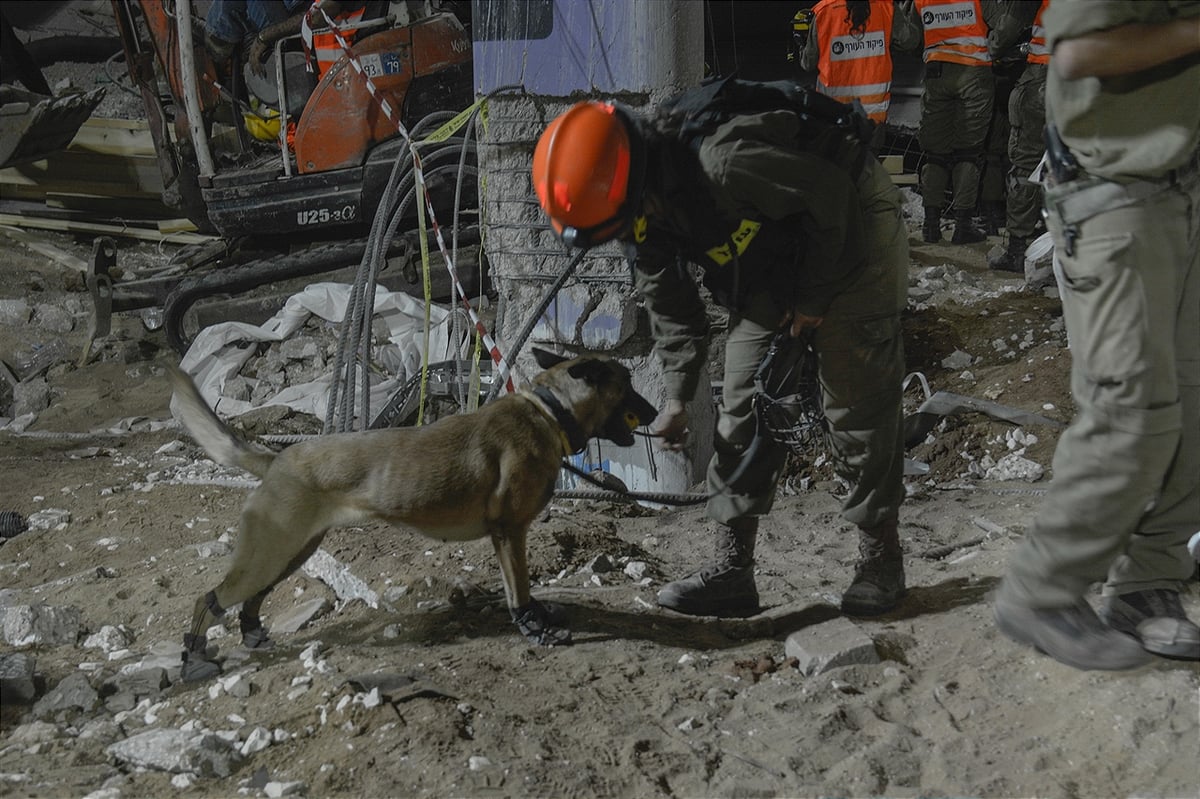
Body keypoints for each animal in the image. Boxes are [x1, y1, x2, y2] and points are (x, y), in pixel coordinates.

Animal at [166, 347, 657, 676]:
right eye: (630, 384)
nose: (655, 411)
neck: (549, 413)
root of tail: (276, 459)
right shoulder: (509, 532)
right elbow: (518, 591)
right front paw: (534, 628)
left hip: (292, 551)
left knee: (252, 597)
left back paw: (250, 633)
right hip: (271, 551)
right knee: (208, 599)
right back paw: (193, 660)